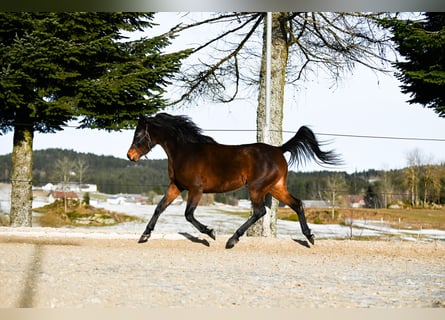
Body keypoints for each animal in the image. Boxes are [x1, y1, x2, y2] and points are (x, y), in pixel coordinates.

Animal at [126, 114, 338, 249]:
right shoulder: (176, 186)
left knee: (260, 211)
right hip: (275, 188)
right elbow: (159, 208)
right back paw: (310, 237)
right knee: (297, 204)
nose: (130, 156)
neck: (186, 151)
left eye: (138, 135)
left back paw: (232, 240)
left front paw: (210, 233)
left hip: (257, 188)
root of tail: (279, 149)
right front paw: (144, 235)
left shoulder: (196, 189)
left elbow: (188, 214)